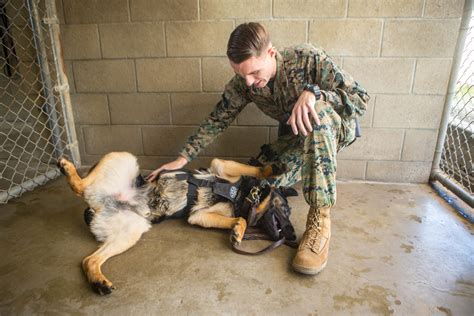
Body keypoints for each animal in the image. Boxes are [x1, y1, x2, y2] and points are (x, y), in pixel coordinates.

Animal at [58, 152, 296, 296]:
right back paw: (68, 169)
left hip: (131, 231)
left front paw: (237, 230)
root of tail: (98, 204)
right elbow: (253, 170)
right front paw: (273, 169)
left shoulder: (199, 215)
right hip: (123, 157)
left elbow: (239, 218)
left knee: (89, 260)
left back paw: (98, 281)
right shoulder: (220, 165)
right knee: (80, 186)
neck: (242, 196)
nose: (293, 238)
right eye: (286, 210)